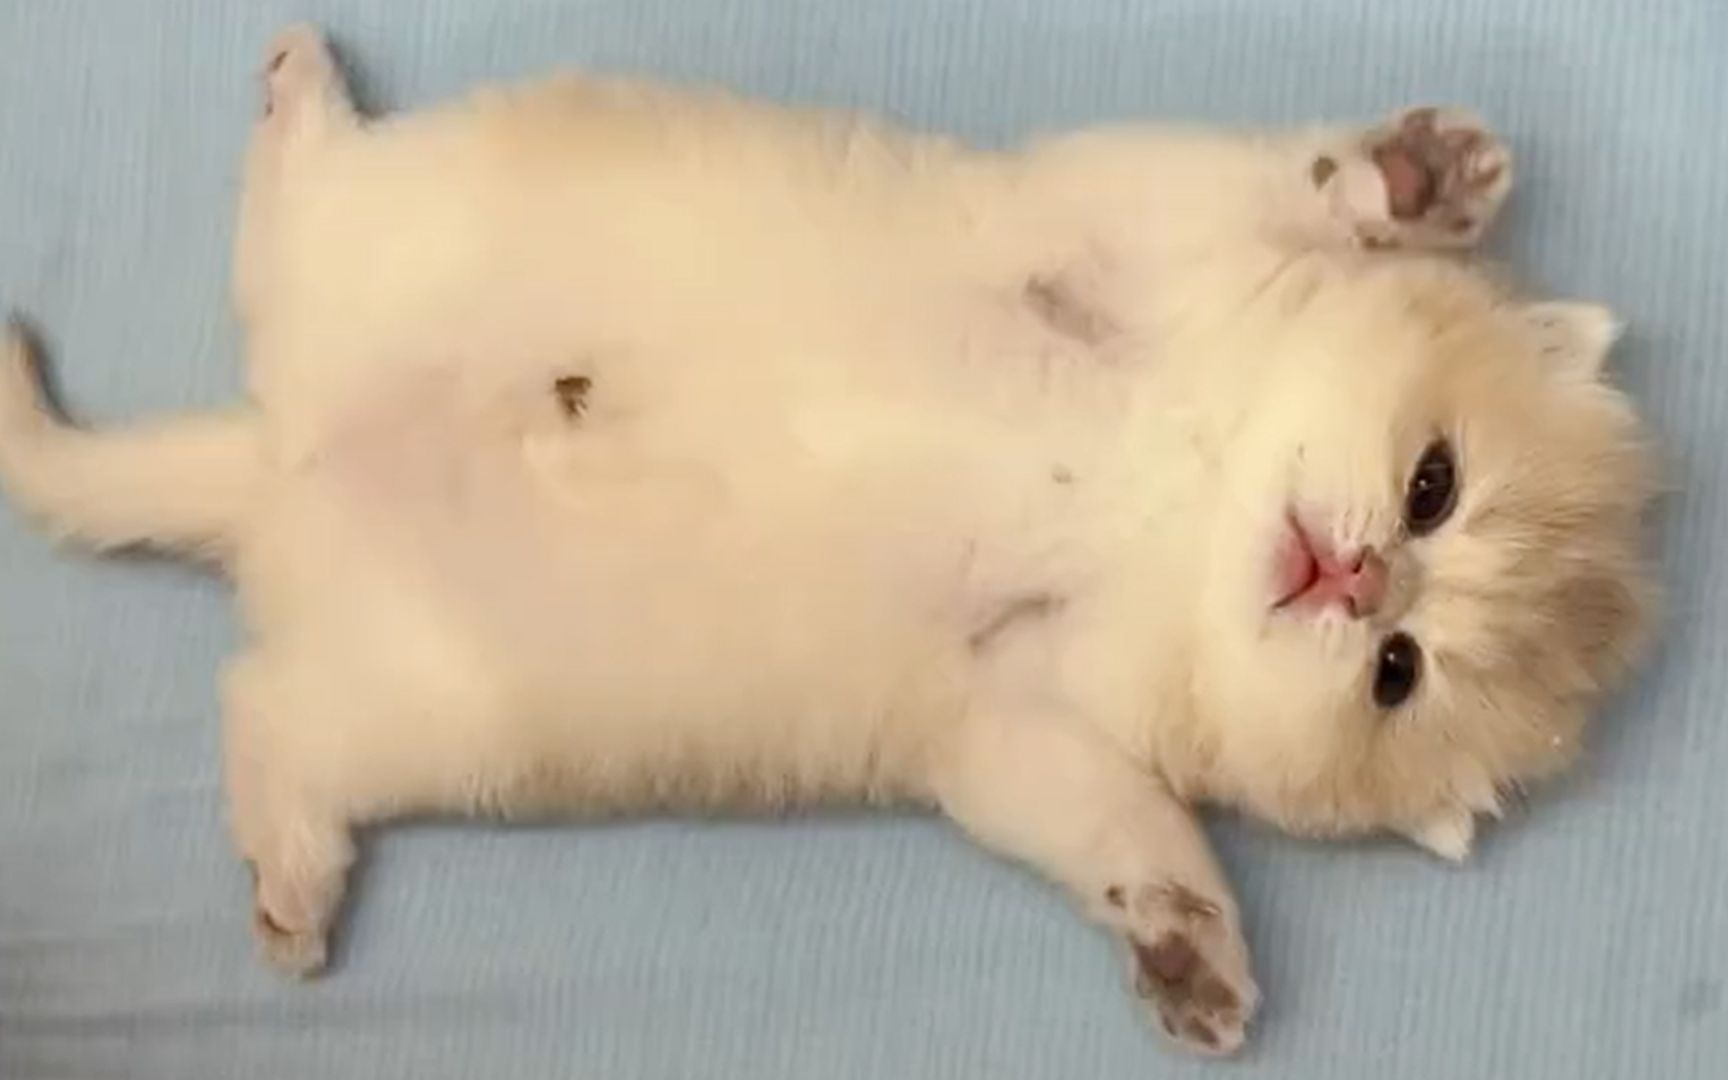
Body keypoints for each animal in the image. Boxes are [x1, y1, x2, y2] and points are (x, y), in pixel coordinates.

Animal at [0, 25, 1657, 1056]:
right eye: (1435, 485)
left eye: (1398, 672)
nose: (1361, 573)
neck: (1173, 504)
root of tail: (278, 463)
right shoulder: (1124, 215)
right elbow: (1267, 188)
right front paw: (1409, 179)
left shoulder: (1013, 719)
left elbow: (1112, 828)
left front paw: (1187, 942)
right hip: (398, 226)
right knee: (297, 212)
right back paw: (301, 94)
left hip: (422, 714)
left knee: (266, 715)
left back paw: (288, 874)